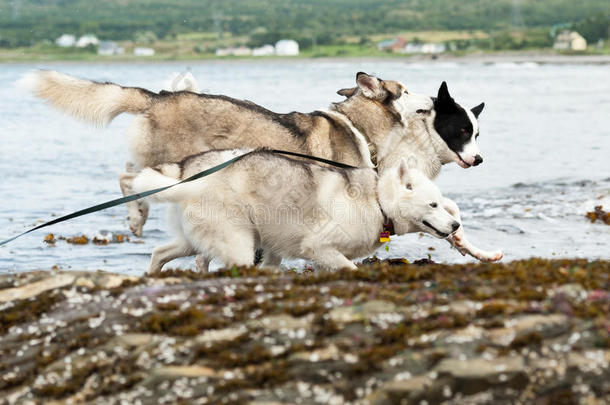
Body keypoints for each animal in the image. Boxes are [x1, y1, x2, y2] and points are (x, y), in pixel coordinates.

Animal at [124, 150, 460, 274]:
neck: (377, 200)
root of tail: (187, 174)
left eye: (442, 203)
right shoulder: (320, 247)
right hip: (237, 243)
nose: (456, 226)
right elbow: (350, 269)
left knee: (159, 252)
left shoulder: (321, 257)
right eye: (433, 205)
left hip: (193, 239)